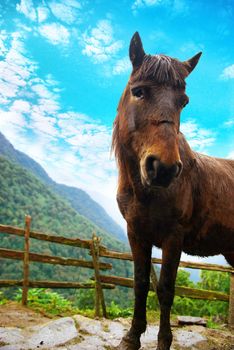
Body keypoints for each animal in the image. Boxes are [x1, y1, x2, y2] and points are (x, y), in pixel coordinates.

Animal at [112, 31, 234, 348]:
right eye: (139, 91)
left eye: (184, 102)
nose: (164, 168)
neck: (146, 192)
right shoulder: (136, 233)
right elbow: (141, 284)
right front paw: (132, 336)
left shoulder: (173, 238)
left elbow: (166, 289)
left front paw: (163, 340)